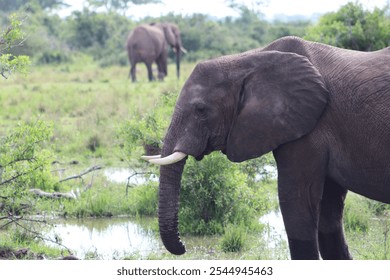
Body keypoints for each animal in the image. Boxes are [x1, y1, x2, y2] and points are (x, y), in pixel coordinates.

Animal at [141, 36, 390, 260]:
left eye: (200, 110)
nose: (183, 248)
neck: (248, 60)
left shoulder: (309, 128)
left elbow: (297, 201)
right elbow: (329, 211)